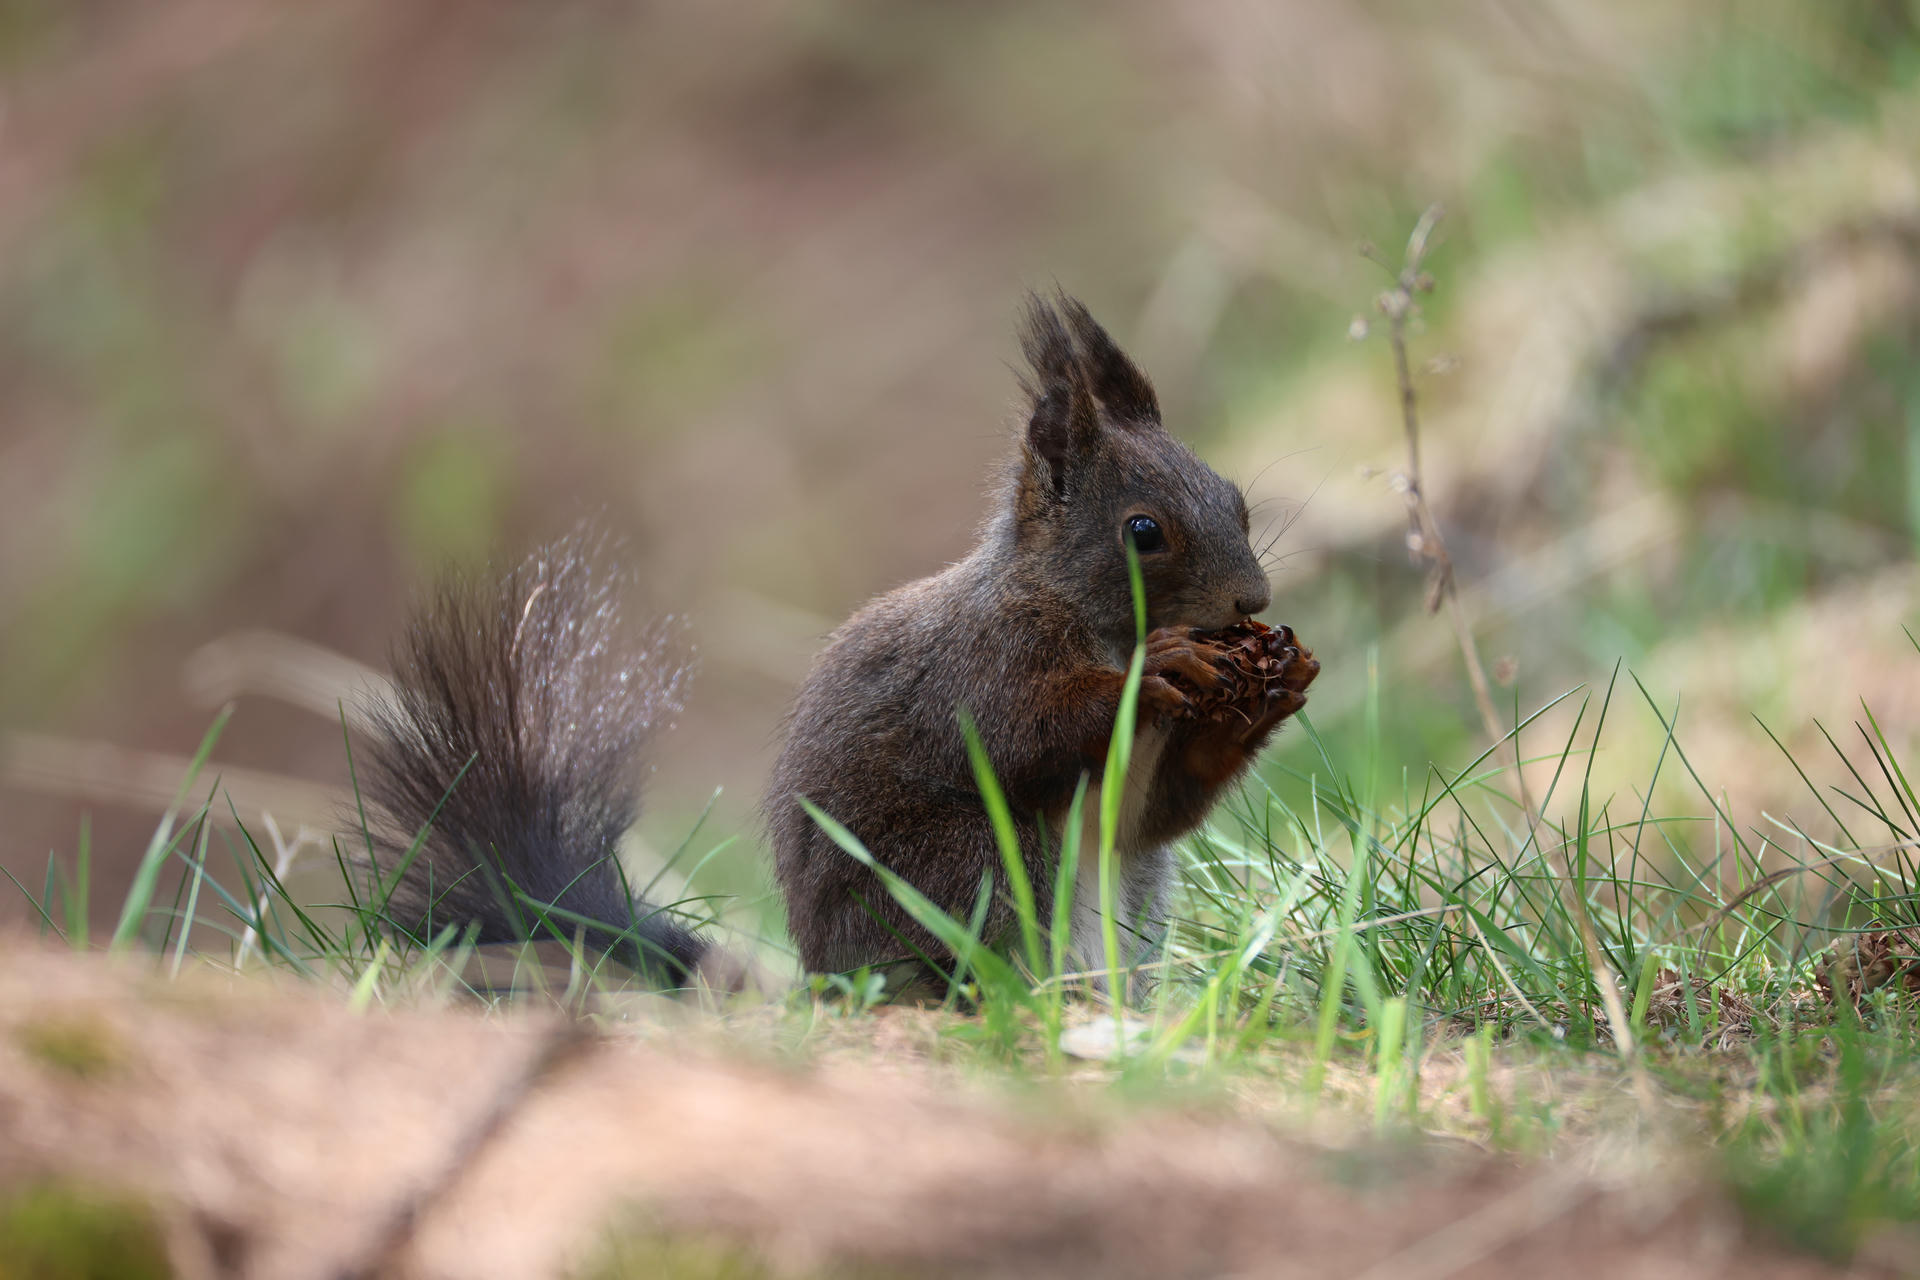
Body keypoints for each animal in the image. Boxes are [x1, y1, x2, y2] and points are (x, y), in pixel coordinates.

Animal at [360, 294, 1317, 995]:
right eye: (1144, 531)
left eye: (1234, 497)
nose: (1254, 601)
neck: (1082, 616)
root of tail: (824, 983)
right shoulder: (982, 665)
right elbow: (1021, 734)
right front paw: (1167, 664)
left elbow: (1149, 812)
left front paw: (1269, 694)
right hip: (967, 865)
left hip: (1133, 891)